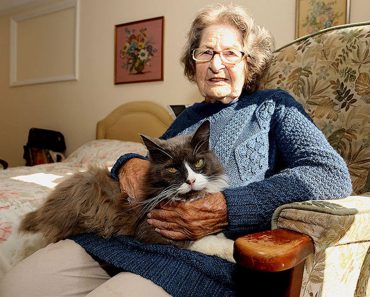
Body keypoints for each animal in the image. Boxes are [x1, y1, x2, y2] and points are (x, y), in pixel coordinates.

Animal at [18, 119, 234, 260]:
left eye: (198, 163)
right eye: (172, 169)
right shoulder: (153, 229)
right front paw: (230, 249)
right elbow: (202, 241)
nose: (190, 180)